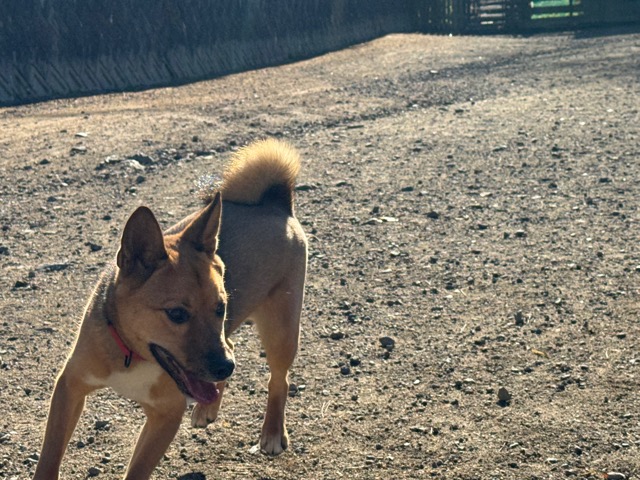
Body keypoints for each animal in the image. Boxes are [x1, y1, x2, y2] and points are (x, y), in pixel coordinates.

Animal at [33, 138, 307, 479]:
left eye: (220, 307)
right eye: (176, 314)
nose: (224, 368)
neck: (132, 355)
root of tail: (274, 203)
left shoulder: (165, 416)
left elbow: (137, 471)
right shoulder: (69, 387)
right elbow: (49, 456)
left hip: (280, 330)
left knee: (278, 379)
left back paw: (271, 432)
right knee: (232, 346)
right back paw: (209, 406)